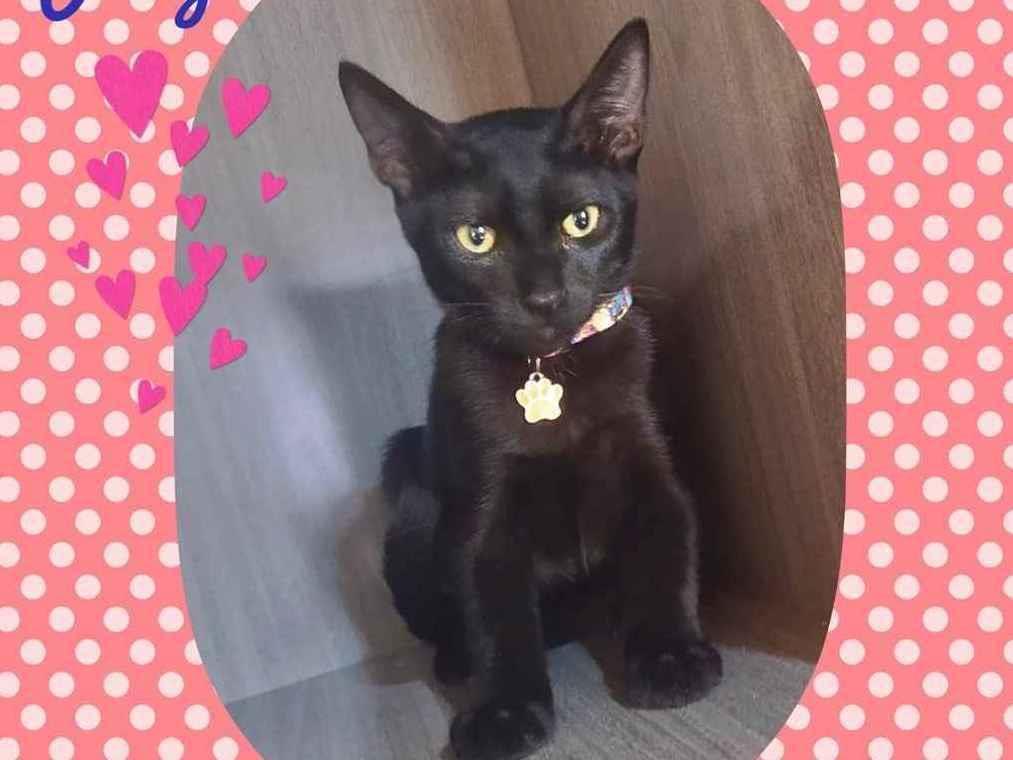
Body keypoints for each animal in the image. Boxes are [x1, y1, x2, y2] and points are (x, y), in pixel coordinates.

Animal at [339, 18, 722, 760]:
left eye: (582, 221)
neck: (552, 370)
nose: (543, 297)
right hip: (407, 475)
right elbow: (494, 611)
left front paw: (669, 656)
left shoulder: (651, 466)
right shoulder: (482, 507)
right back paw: (458, 663)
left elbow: (666, 554)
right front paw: (505, 711)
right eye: (475, 238)